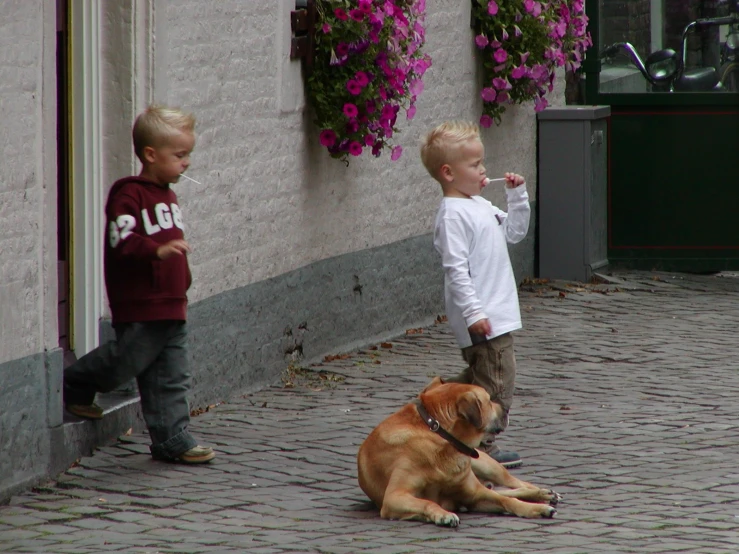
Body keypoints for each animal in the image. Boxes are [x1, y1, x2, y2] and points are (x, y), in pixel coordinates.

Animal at [358, 376, 560, 528]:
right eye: (489, 401)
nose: (506, 409)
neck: (438, 434)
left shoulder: (474, 494)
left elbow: (508, 501)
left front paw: (537, 509)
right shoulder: (394, 497)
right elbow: (427, 501)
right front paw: (443, 514)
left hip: (488, 466)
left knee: (516, 484)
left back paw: (543, 493)